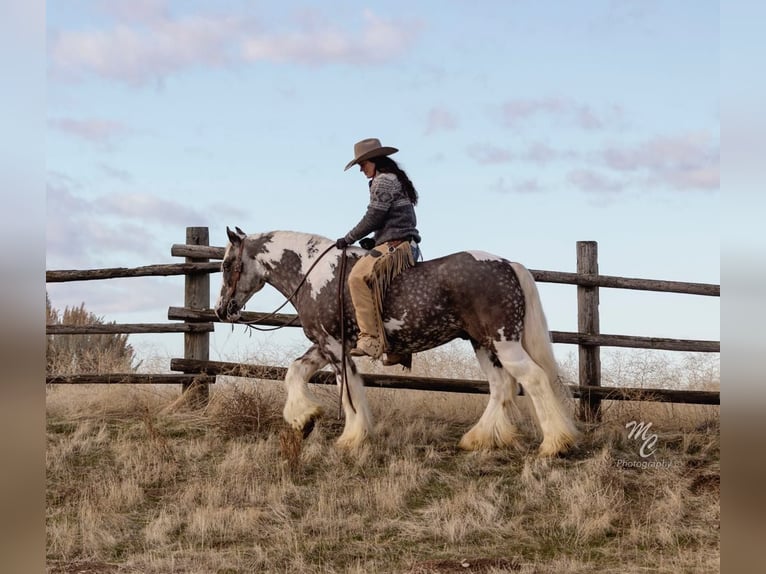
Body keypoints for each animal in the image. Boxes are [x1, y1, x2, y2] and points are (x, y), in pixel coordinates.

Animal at [214, 227, 580, 457]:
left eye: (228, 263)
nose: (221, 309)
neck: (314, 275)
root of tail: (508, 265)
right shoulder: (323, 343)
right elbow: (295, 372)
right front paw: (303, 418)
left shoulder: (333, 345)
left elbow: (347, 389)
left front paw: (351, 437)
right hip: (483, 343)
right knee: (501, 386)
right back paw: (478, 439)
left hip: (504, 341)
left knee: (533, 379)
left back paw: (554, 444)